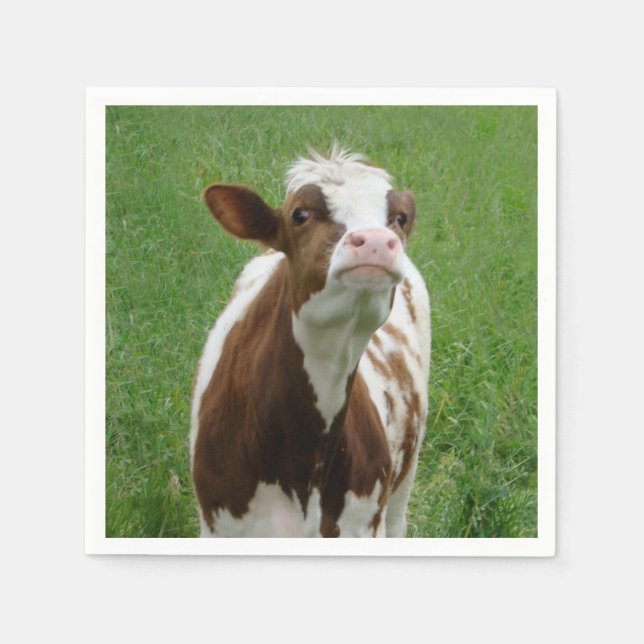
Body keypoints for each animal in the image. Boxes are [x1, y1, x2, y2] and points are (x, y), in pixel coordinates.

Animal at [190, 147, 430, 537]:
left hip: (403, 482)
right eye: (299, 214)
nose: (376, 241)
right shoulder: (220, 525)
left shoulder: (362, 523)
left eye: (400, 217)